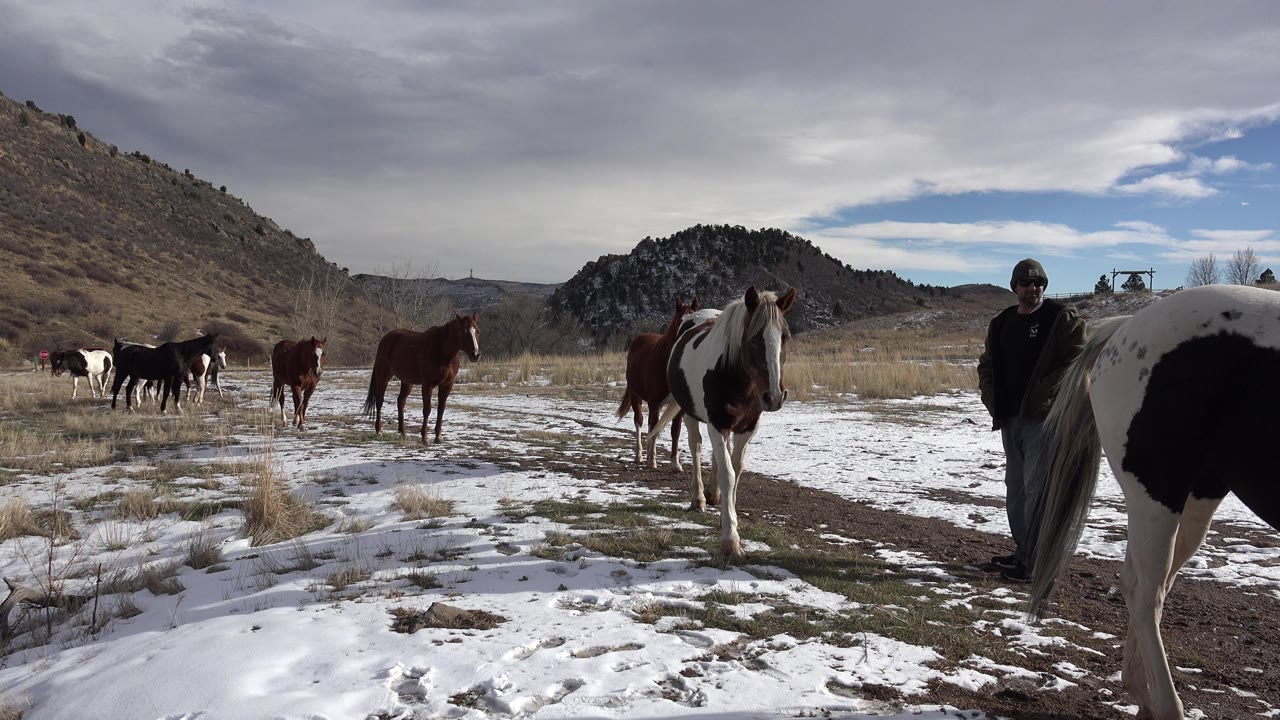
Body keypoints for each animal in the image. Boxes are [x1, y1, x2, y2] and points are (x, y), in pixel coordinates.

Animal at [362, 313, 481, 444]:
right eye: (464, 331)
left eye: (477, 331)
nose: (475, 354)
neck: (442, 350)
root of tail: (385, 339)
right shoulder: (427, 385)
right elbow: (427, 409)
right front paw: (425, 437)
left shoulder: (447, 385)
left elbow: (441, 409)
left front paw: (438, 436)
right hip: (383, 376)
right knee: (379, 401)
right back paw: (379, 431)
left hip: (407, 381)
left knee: (401, 402)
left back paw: (403, 433)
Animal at [615, 296, 700, 468]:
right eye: (680, 320)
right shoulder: (653, 402)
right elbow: (653, 427)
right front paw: (652, 460)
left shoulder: (676, 406)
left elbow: (675, 431)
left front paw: (675, 463)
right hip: (636, 396)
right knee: (640, 421)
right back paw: (640, 455)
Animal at [650, 286, 797, 557]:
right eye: (754, 337)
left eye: (786, 336)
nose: (774, 396)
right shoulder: (717, 423)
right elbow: (728, 473)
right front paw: (731, 539)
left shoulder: (748, 427)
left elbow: (735, 468)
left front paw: (727, 517)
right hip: (690, 414)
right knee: (696, 447)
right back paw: (699, 498)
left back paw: (713, 494)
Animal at [1030, 284, 1280, 720]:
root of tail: (1123, 328)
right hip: (1156, 493)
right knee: (1145, 590)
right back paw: (1165, 704)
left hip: (1195, 497)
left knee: (1149, 585)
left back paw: (1141, 691)